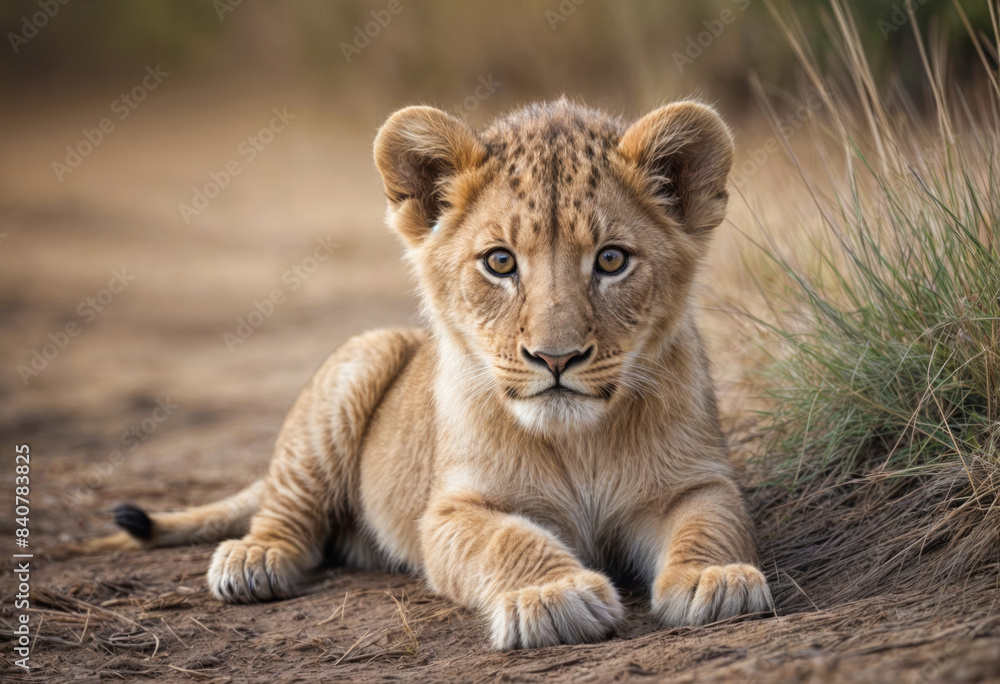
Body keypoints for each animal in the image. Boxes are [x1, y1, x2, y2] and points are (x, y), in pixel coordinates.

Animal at [84, 99, 772, 650]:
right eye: (500, 262)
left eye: (611, 260)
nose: (555, 359)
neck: (579, 441)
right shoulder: (449, 512)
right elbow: (509, 540)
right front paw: (552, 597)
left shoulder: (696, 481)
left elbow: (711, 522)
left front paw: (717, 579)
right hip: (362, 359)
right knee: (287, 507)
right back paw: (255, 558)